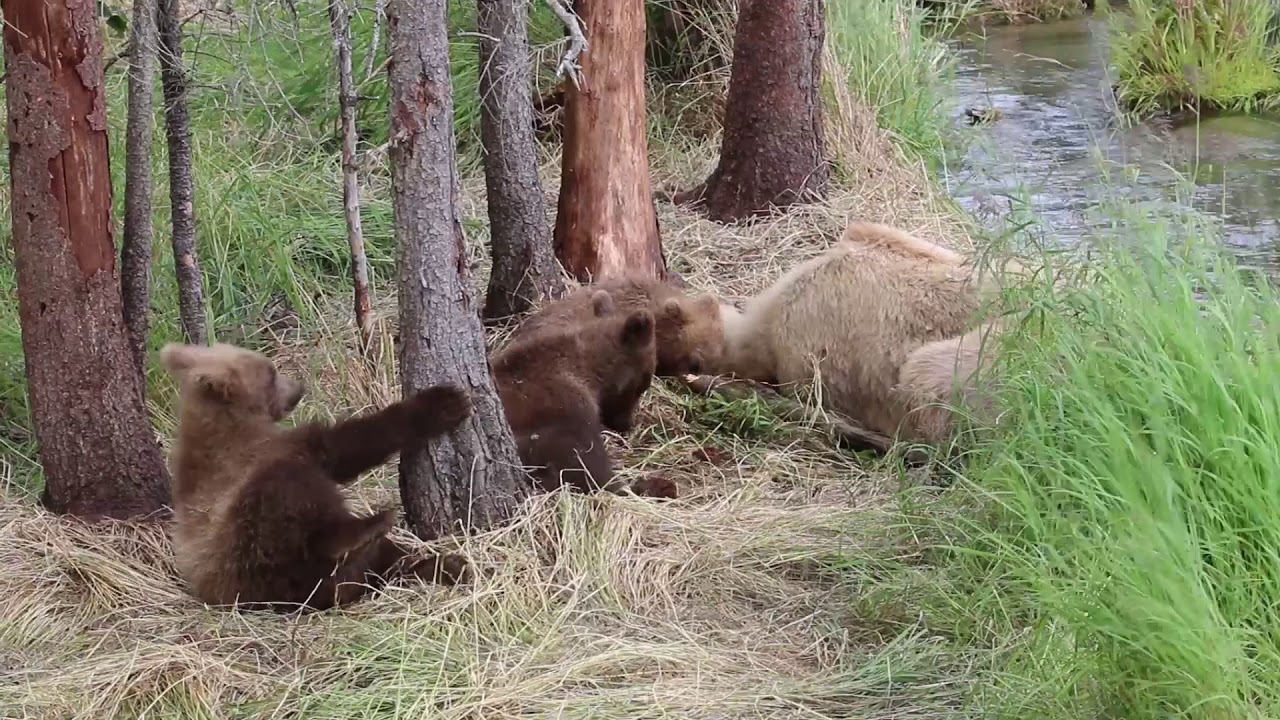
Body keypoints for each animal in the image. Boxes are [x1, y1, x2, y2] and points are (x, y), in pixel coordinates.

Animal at [160, 342, 473, 613]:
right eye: (271, 374)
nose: (298, 388)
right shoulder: (261, 452)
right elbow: (347, 444)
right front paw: (444, 402)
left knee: (377, 563)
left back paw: (445, 565)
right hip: (243, 548)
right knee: (296, 517)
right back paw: (366, 530)